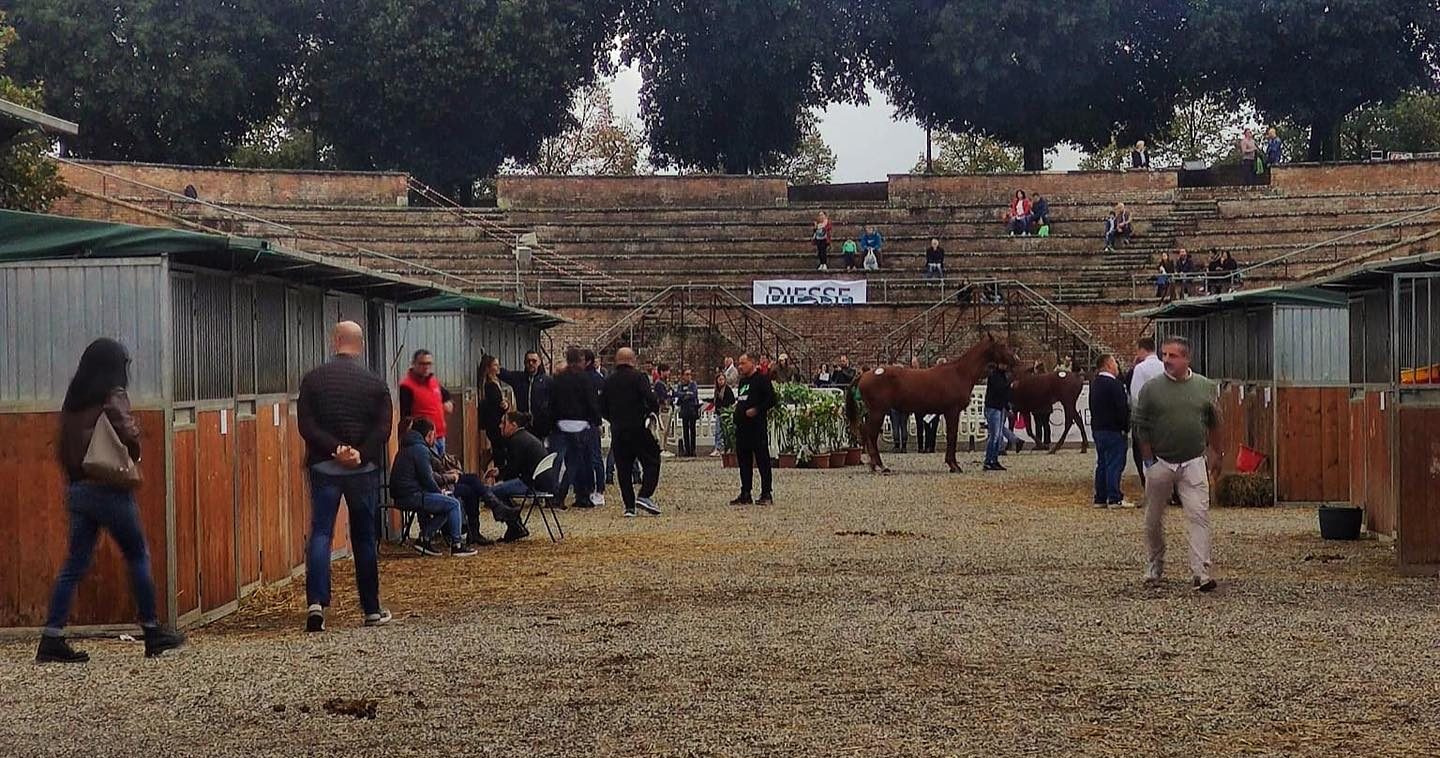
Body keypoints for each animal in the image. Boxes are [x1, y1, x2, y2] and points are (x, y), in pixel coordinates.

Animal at [840, 334, 1013, 475]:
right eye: (1001, 345)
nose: (1015, 358)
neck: (960, 373)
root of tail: (865, 374)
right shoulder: (952, 411)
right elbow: (952, 436)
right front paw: (954, 465)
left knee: (866, 432)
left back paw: (874, 465)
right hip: (878, 411)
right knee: (871, 433)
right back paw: (881, 466)